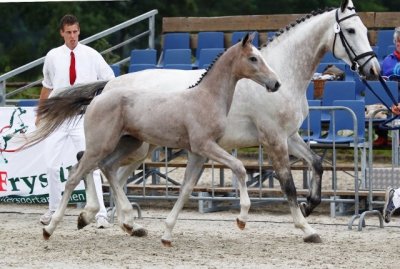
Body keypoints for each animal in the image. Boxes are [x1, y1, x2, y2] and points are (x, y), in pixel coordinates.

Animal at [28, 32, 282, 244]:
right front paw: (242, 218)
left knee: (104, 167)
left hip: (128, 144)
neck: (206, 98)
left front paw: (167, 235)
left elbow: (186, 189)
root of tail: (98, 97)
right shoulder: (205, 146)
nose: (276, 83)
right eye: (253, 58)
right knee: (76, 174)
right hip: (104, 144)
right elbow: (239, 167)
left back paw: (121, 221)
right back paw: (51, 228)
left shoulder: (198, 153)